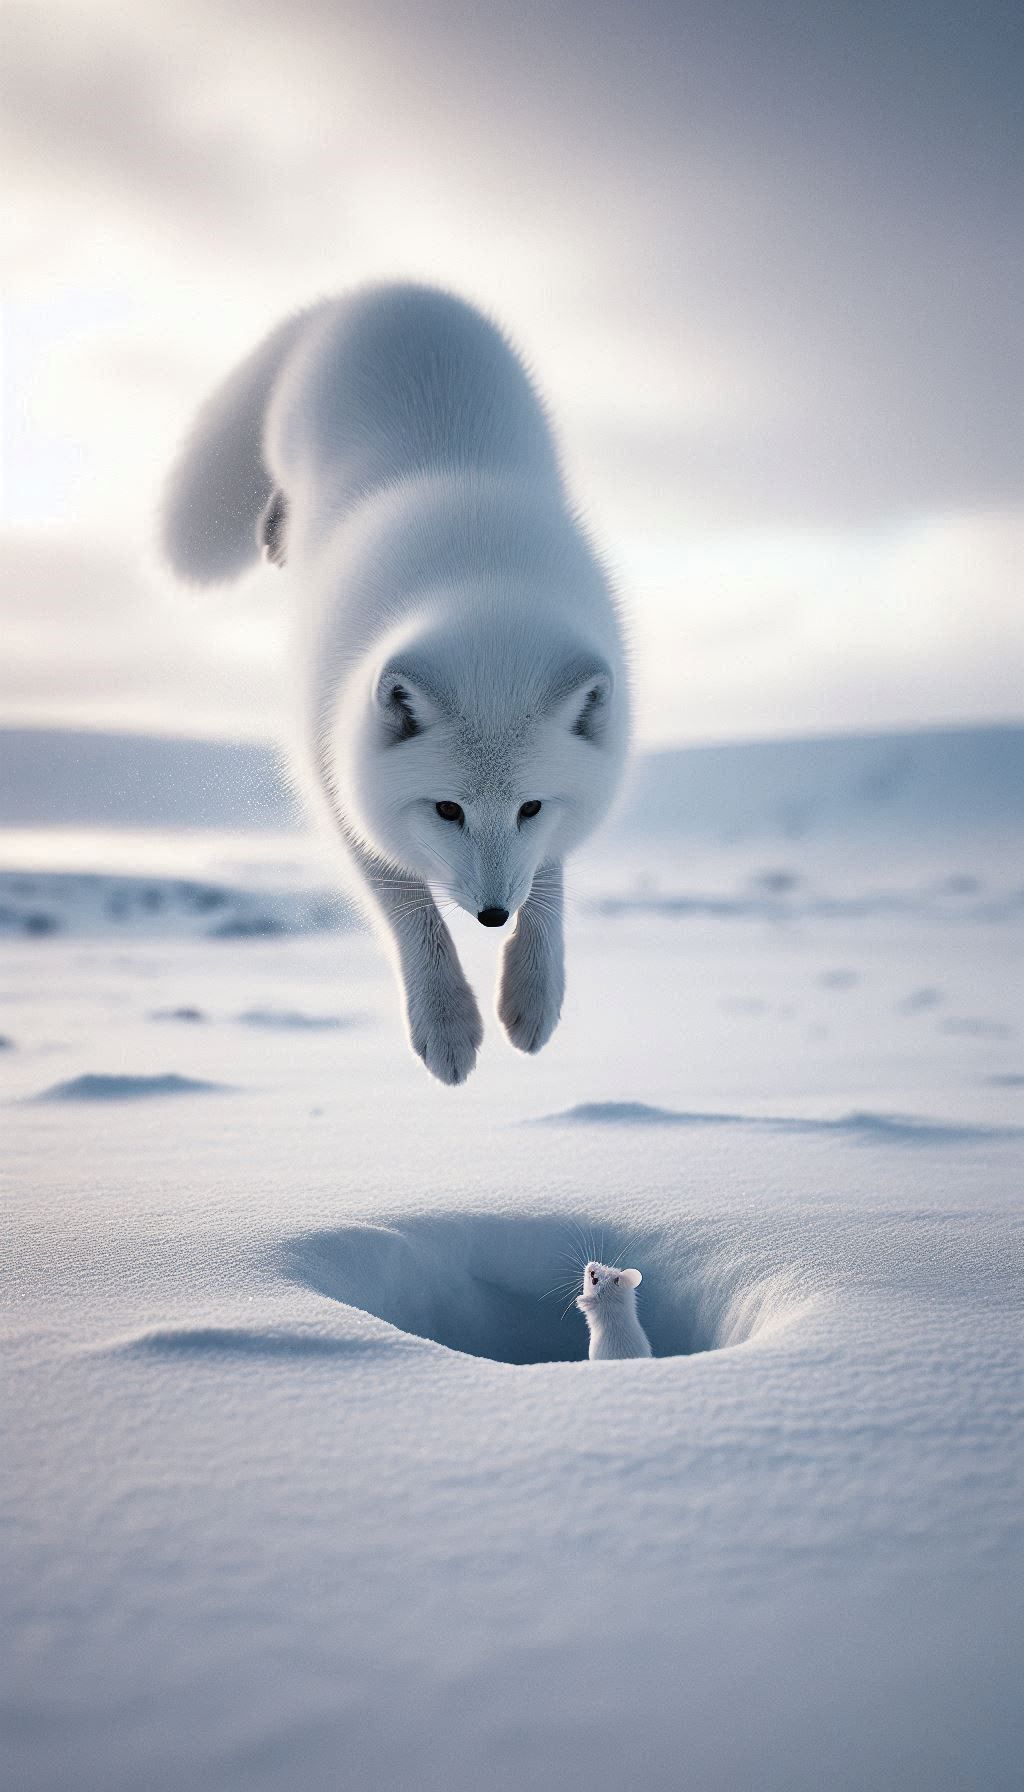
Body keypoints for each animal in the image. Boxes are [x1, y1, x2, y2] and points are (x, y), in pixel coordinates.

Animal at [161, 283, 630, 1084]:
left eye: (531, 806)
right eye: (446, 809)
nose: (492, 916)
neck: (478, 577)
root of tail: (375, 292)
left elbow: (551, 886)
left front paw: (533, 997)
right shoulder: (336, 772)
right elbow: (407, 910)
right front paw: (446, 1027)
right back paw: (278, 533)